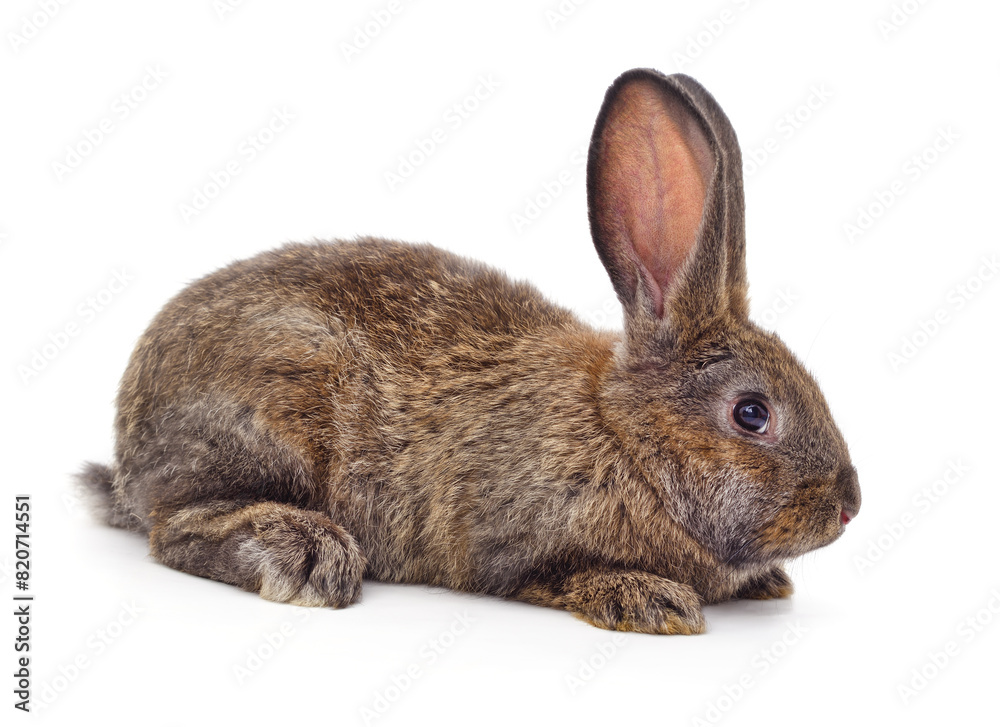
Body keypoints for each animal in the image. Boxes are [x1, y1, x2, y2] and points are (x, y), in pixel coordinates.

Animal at [79, 68, 860, 634]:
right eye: (752, 414)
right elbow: (547, 574)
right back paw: (303, 554)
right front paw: (645, 599)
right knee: (176, 528)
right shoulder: (509, 542)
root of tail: (127, 453)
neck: (625, 435)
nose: (850, 505)